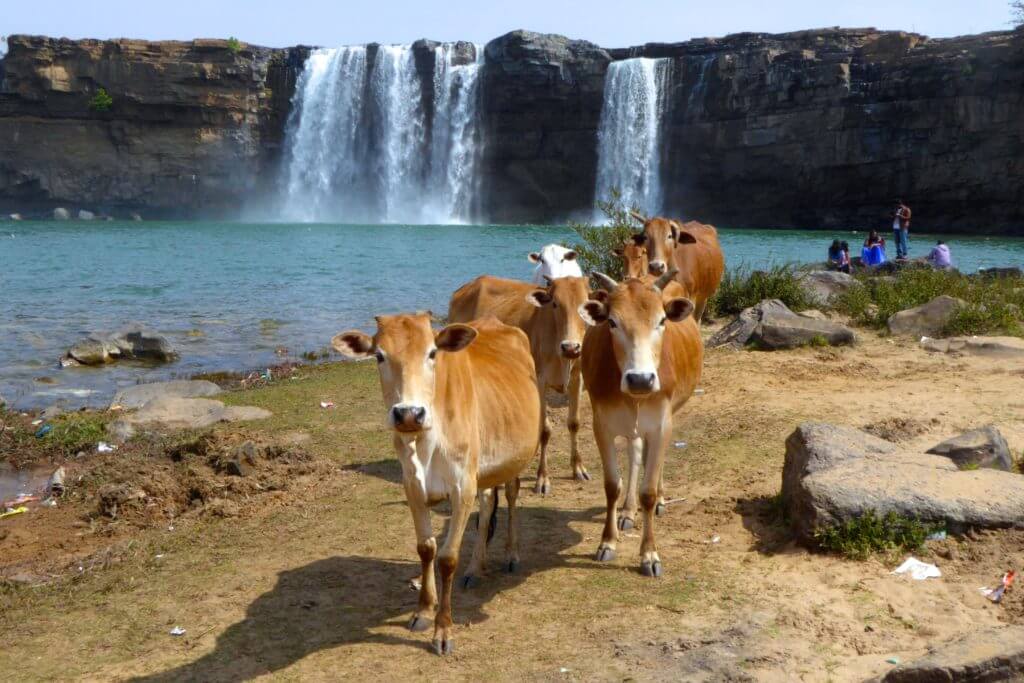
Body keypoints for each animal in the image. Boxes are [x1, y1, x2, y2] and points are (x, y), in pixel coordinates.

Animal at [331, 313, 540, 655]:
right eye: (379, 356)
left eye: (432, 353)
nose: (408, 414)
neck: (426, 442)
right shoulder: (413, 486)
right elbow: (426, 549)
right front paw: (423, 611)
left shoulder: (461, 487)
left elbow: (447, 558)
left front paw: (443, 629)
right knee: (487, 505)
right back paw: (475, 567)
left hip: (515, 457)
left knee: (510, 495)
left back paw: (511, 554)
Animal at [448, 274, 593, 493]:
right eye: (555, 303)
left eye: (584, 305)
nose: (570, 347)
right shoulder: (539, 381)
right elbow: (544, 430)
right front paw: (542, 477)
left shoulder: (577, 377)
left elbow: (574, 423)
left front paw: (578, 468)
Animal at [577, 272, 704, 577]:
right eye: (612, 322)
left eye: (662, 320)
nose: (641, 379)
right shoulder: (602, 425)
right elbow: (612, 485)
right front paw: (608, 542)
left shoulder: (661, 425)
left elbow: (648, 491)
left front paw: (649, 554)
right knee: (635, 454)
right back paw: (626, 511)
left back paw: (660, 499)